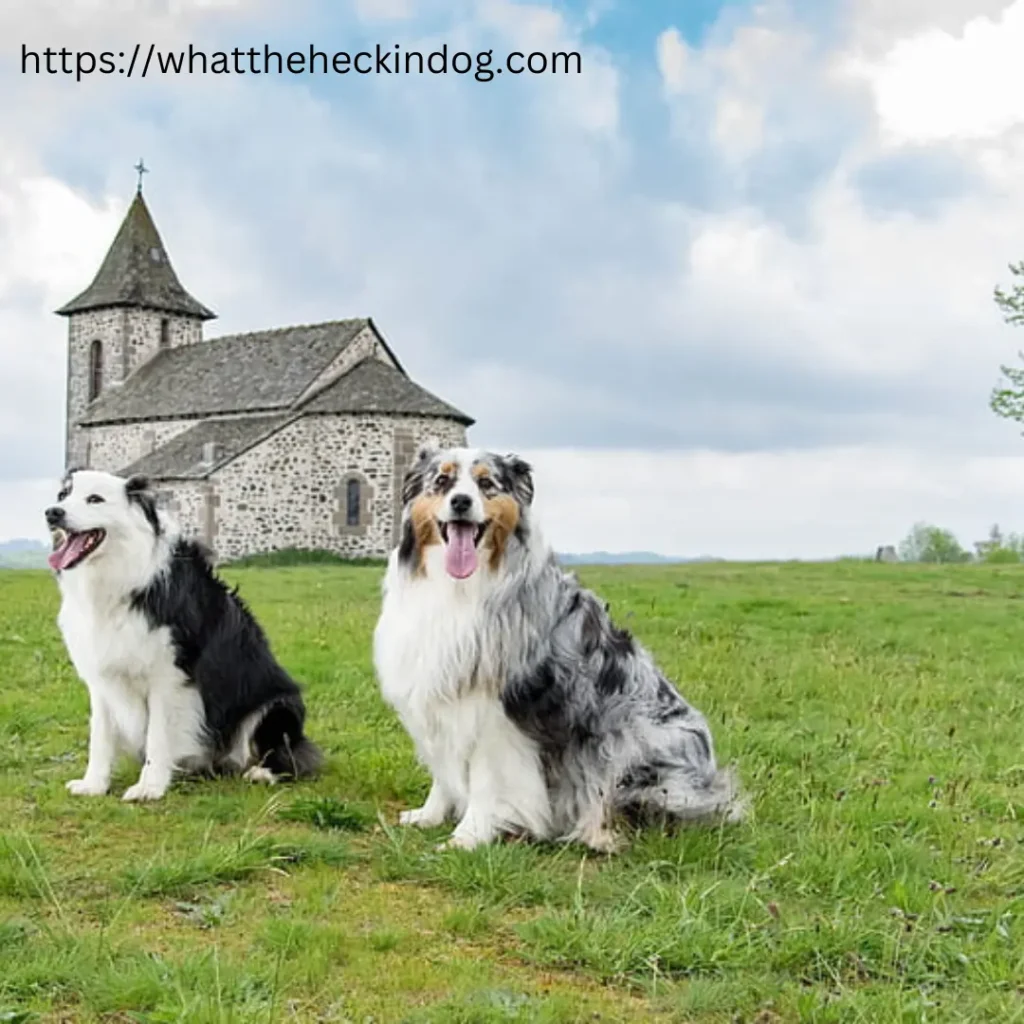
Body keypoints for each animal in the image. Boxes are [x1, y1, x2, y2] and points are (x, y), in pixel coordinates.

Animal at [46, 468, 319, 798]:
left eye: (95, 499)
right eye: (63, 495)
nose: (52, 512)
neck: (125, 576)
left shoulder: (169, 676)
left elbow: (158, 736)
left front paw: (149, 787)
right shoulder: (103, 677)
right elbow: (100, 736)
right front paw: (93, 784)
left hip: (276, 705)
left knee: (289, 755)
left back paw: (261, 773)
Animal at [372, 444, 741, 851]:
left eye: (487, 484)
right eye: (441, 480)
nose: (461, 502)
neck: (459, 589)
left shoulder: (498, 712)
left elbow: (486, 779)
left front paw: (468, 837)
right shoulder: (437, 695)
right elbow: (443, 767)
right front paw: (429, 815)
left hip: (632, 744)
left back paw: (596, 833)